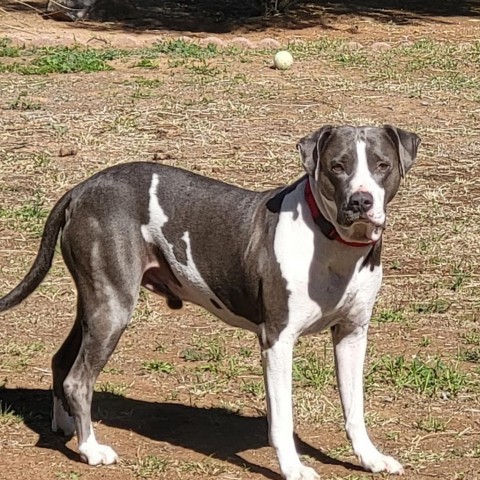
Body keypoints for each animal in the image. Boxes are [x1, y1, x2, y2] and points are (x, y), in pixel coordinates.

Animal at [0, 124, 420, 480]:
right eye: (337, 166)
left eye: (382, 165)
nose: (361, 200)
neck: (332, 243)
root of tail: (81, 189)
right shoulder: (278, 340)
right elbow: (283, 418)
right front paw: (293, 468)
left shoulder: (352, 334)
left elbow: (354, 407)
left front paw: (370, 457)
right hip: (113, 308)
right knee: (78, 379)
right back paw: (90, 448)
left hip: (96, 304)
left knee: (61, 360)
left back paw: (66, 425)